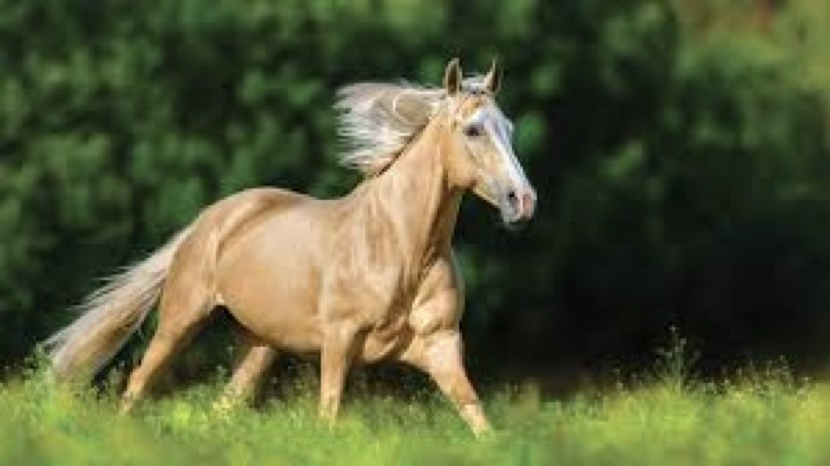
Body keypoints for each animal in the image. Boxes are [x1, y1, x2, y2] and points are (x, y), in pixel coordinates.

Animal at [44, 58, 536, 436]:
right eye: (472, 130)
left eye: (510, 128)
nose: (523, 200)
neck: (401, 248)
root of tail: (209, 220)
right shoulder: (338, 342)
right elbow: (328, 416)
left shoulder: (442, 345)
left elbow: (480, 421)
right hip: (180, 321)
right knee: (136, 386)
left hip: (259, 347)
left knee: (222, 408)